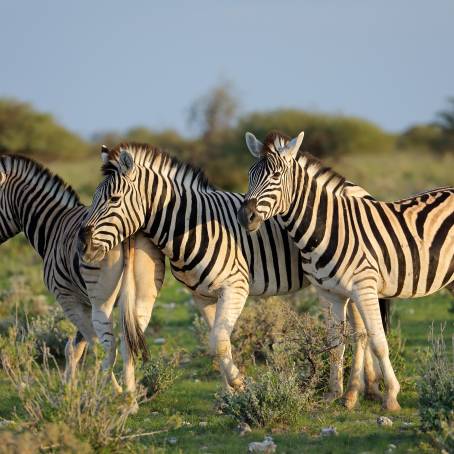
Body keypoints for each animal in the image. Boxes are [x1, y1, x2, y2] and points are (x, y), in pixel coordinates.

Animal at [0, 153, 165, 394]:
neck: (53, 226)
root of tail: (129, 233)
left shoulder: (69, 299)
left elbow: (85, 346)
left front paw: (74, 390)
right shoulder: (83, 302)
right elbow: (76, 347)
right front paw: (68, 388)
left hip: (101, 303)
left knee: (110, 346)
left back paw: (117, 393)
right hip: (144, 296)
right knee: (129, 343)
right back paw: (130, 393)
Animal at [80, 143, 392, 400]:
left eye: (114, 199)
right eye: (94, 198)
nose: (83, 242)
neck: (187, 224)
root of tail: (359, 189)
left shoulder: (235, 286)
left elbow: (218, 342)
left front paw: (241, 386)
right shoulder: (203, 296)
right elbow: (218, 342)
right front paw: (228, 394)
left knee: (361, 330)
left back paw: (358, 391)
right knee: (361, 329)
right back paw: (369, 387)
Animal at [238, 129, 454, 412]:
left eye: (275, 175)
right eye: (249, 174)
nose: (246, 217)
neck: (328, 227)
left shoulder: (364, 288)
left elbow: (378, 342)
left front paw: (391, 396)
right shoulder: (328, 293)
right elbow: (335, 343)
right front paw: (334, 394)